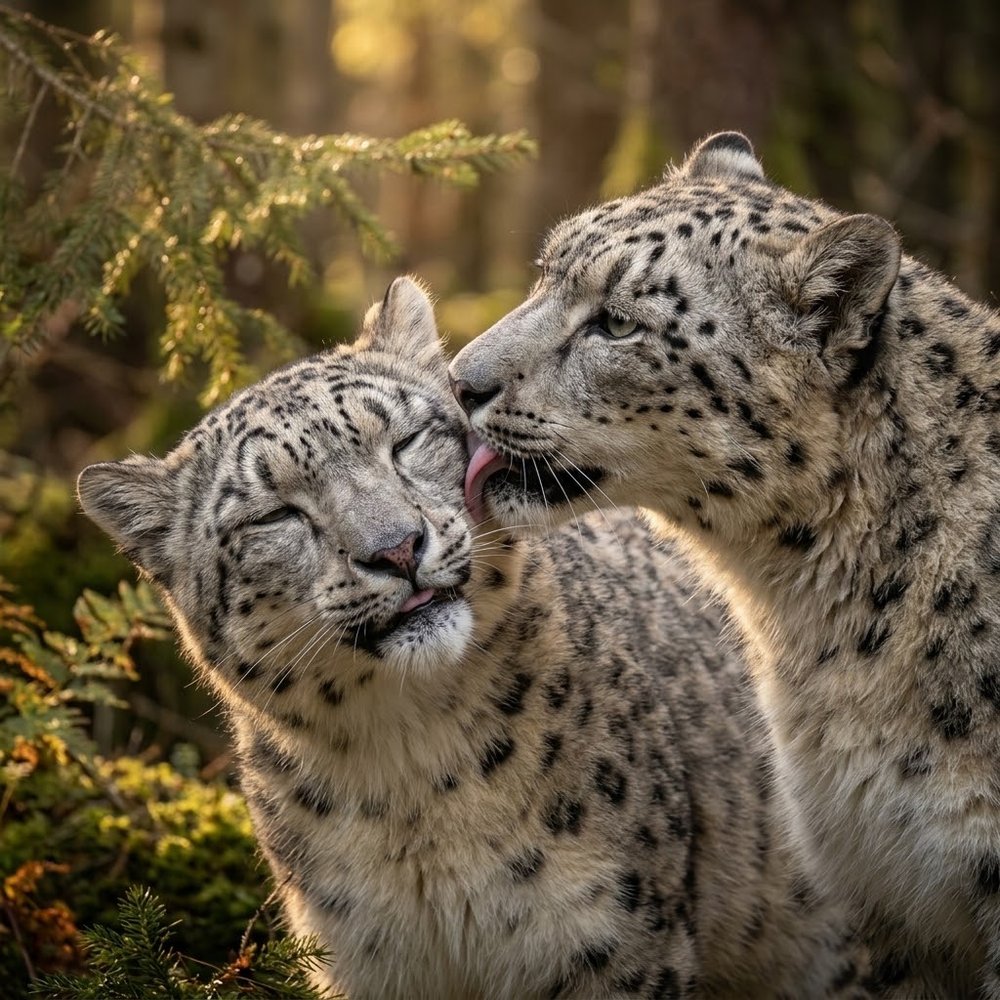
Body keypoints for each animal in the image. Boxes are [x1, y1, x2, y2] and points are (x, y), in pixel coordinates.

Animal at [77, 276, 871, 999]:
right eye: (274, 515)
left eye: (405, 442)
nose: (396, 548)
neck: (410, 772)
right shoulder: (365, 964)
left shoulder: (611, 943)